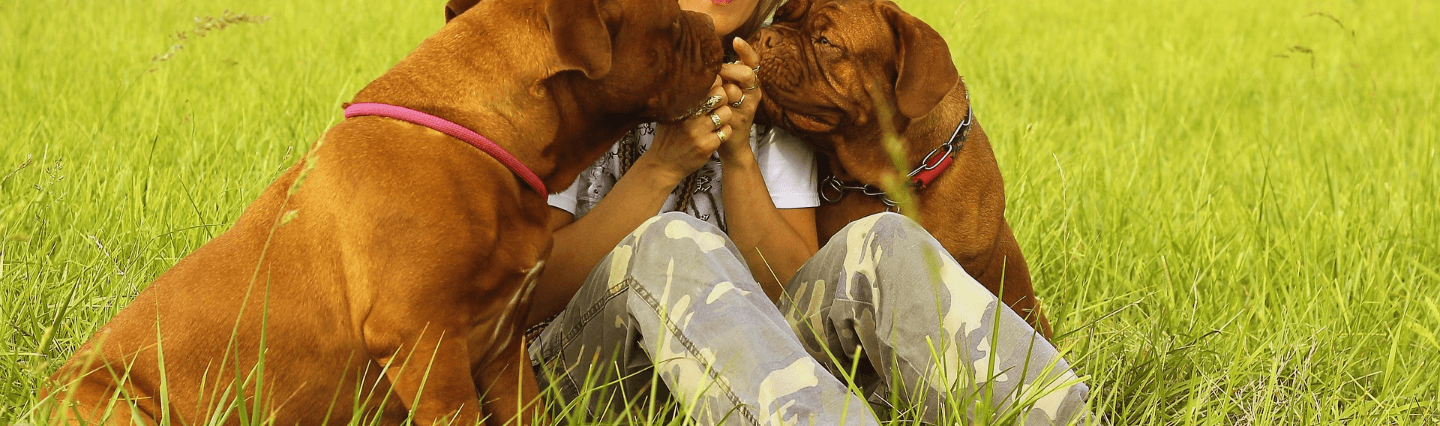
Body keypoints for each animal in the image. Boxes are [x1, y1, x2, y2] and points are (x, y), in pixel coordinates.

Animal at [37, 0, 720, 423]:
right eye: (671, 20)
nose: (716, 31)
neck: (480, 136)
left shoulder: (502, 352)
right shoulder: (424, 344)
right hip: (114, 400)